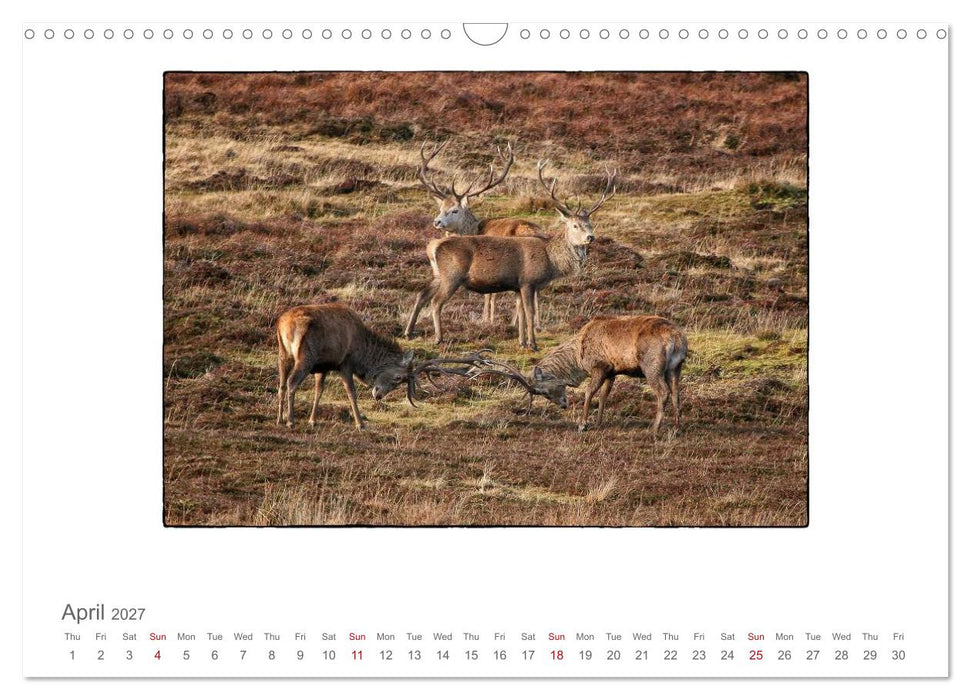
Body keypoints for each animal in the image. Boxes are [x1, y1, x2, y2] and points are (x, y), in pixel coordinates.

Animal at [276, 303, 482, 430]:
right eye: (398, 377)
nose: (379, 395)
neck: (363, 352)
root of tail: (282, 324)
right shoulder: (345, 363)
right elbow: (351, 393)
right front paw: (360, 423)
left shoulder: (324, 366)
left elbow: (319, 391)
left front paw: (313, 420)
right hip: (305, 356)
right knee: (292, 383)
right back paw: (291, 421)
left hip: (284, 354)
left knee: (282, 384)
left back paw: (280, 418)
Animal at [405, 161, 617, 351]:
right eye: (574, 225)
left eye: (590, 224)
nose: (590, 237)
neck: (551, 261)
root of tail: (433, 247)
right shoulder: (528, 281)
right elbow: (529, 313)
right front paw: (533, 344)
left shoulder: (517, 286)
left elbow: (521, 312)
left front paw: (522, 342)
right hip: (452, 276)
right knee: (436, 302)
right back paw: (438, 338)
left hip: (438, 275)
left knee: (422, 294)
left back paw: (409, 332)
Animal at [467, 315, 687, 435]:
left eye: (543, 392)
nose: (563, 405)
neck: (579, 358)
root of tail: (677, 339)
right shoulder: (612, 370)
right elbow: (604, 395)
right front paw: (598, 423)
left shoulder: (600, 365)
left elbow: (589, 392)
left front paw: (583, 424)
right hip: (676, 367)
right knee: (677, 394)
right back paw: (676, 428)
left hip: (652, 365)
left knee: (663, 392)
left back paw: (655, 428)